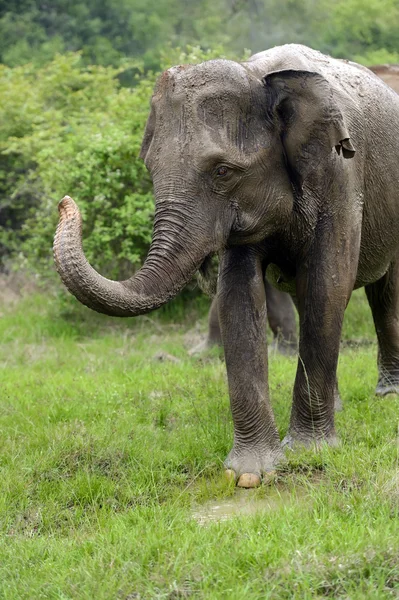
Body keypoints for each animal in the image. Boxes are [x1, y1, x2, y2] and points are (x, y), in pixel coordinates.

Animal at [54, 45, 399, 488]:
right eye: (149, 168)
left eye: (222, 171)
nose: (65, 202)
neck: (258, 75)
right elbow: (239, 296)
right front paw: (251, 475)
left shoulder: (340, 174)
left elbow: (330, 283)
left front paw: (309, 452)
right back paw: (338, 406)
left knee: (383, 293)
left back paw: (387, 395)